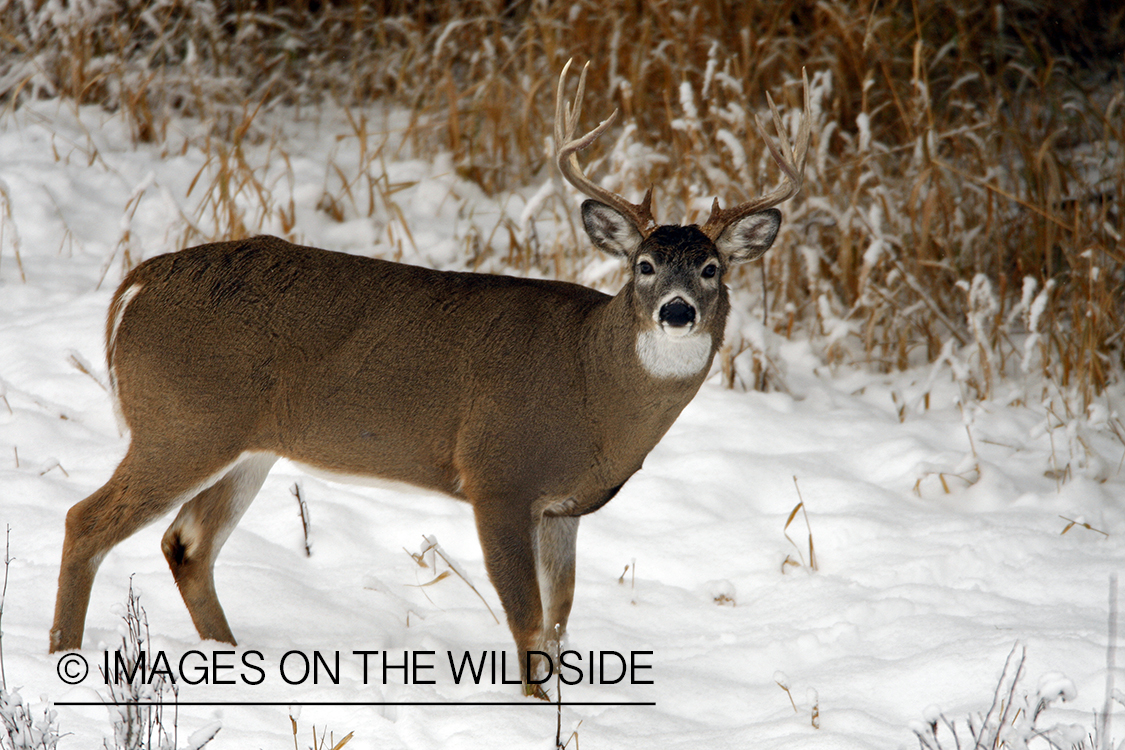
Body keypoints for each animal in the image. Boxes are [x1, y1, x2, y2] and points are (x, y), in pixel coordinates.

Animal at [50, 61, 810, 695]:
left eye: (711, 268)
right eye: (644, 266)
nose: (677, 311)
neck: (592, 388)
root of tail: (137, 283)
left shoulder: (560, 506)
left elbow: (560, 620)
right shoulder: (498, 475)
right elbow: (527, 623)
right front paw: (537, 712)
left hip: (246, 445)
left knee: (187, 545)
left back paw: (233, 661)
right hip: (181, 422)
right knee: (86, 520)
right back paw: (65, 658)